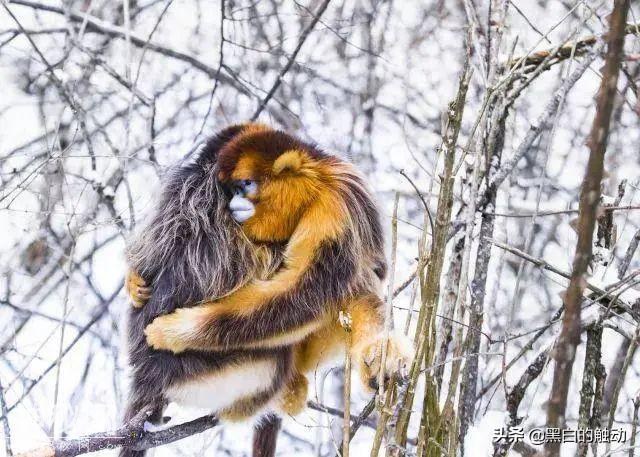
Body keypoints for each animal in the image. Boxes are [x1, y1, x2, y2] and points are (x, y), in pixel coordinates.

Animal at [126, 124, 410, 452]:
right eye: (230, 189)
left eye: (244, 185)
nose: (232, 204)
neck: (319, 182)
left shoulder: (332, 212)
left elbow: (304, 296)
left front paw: (173, 331)